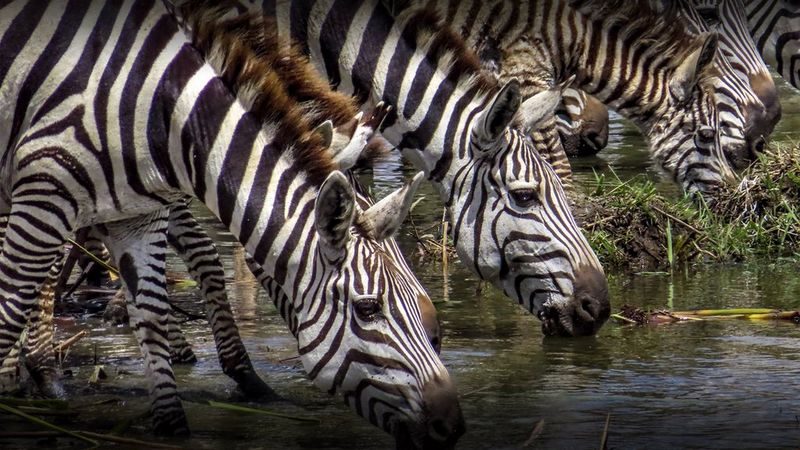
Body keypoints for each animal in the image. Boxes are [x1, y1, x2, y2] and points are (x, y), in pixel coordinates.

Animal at [0, 1, 466, 444]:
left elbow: (152, 314)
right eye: (368, 309)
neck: (165, 111)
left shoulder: (139, 215)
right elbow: (13, 302)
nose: (451, 424)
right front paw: (33, 378)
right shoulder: (45, 189)